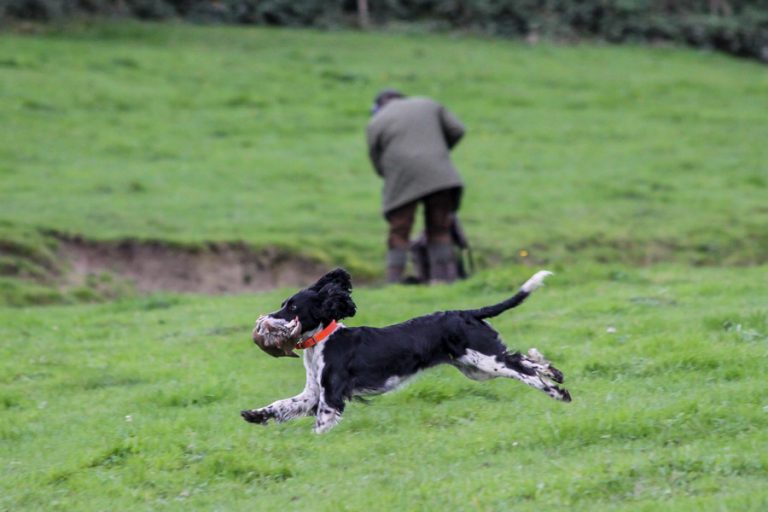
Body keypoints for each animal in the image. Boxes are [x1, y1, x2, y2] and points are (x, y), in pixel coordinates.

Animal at [240, 268, 568, 432]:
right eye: (284, 303)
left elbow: (320, 424)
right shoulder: (313, 393)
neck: (323, 339)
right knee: (523, 359)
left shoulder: (331, 395)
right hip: (475, 367)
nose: (267, 319)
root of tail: (467, 313)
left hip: (485, 360)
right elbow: (282, 405)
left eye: (293, 307)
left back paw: (557, 392)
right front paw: (253, 415)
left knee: (522, 370)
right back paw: (554, 373)